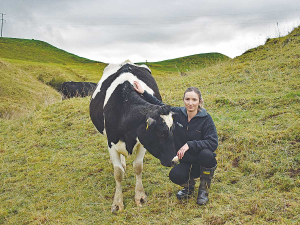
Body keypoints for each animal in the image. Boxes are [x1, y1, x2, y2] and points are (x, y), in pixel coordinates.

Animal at [89, 60, 178, 214]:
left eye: (172, 130)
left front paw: (140, 197)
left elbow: (138, 167)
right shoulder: (111, 143)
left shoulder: (142, 142)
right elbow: (118, 173)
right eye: (161, 132)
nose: (175, 160)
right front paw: (117, 203)